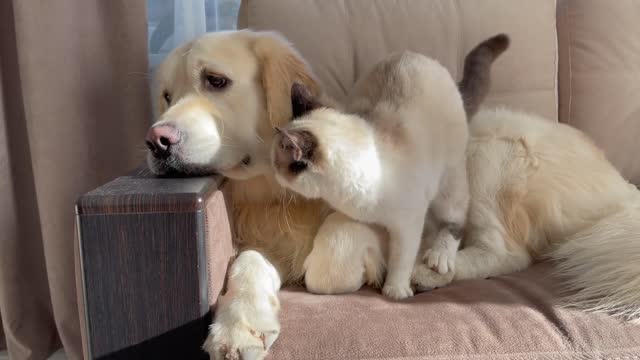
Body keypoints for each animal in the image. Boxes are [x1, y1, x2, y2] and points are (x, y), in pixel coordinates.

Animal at [145, 28, 640, 360]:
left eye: (216, 81)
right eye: (166, 95)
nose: (157, 141)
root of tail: (621, 188)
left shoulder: (400, 215)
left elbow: (336, 247)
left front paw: (364, 275)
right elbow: (247, 265)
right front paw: (240, 327)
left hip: (482, 155)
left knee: (504, 251)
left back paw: (433, 269)